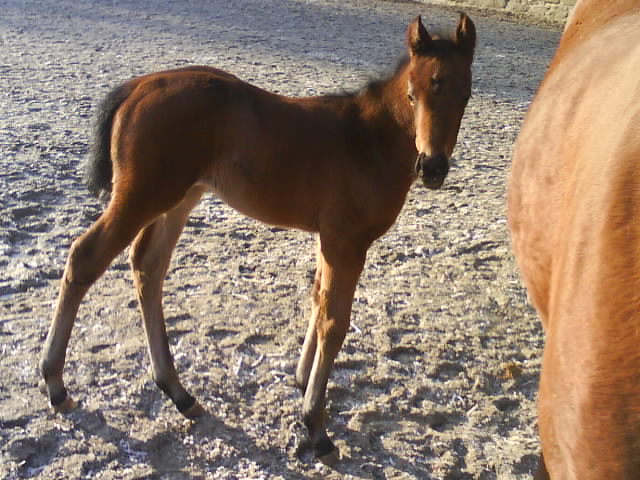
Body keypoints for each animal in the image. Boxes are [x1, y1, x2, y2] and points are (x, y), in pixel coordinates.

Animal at [37, 15, 472, 460]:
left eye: (465, 94)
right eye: (412, 94)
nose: (433, 167)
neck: (368, 140)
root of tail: (139, 85)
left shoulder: (330, 240)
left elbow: (317, 300)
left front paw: (302, 381)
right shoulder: (346, 242)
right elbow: (334, 322)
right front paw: (315, 425)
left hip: (180, 198)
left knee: (148, 266)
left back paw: (178, 392)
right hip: (143, 196)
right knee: (85, 257)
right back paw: (56, 384)